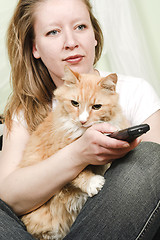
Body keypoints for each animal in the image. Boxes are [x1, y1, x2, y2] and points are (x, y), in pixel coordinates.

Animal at [19, 66, 128, 240]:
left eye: (96, 107)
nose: (82, 121)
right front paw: (93, 182)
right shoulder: (58, 155)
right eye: (75, 103)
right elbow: (78, 173)